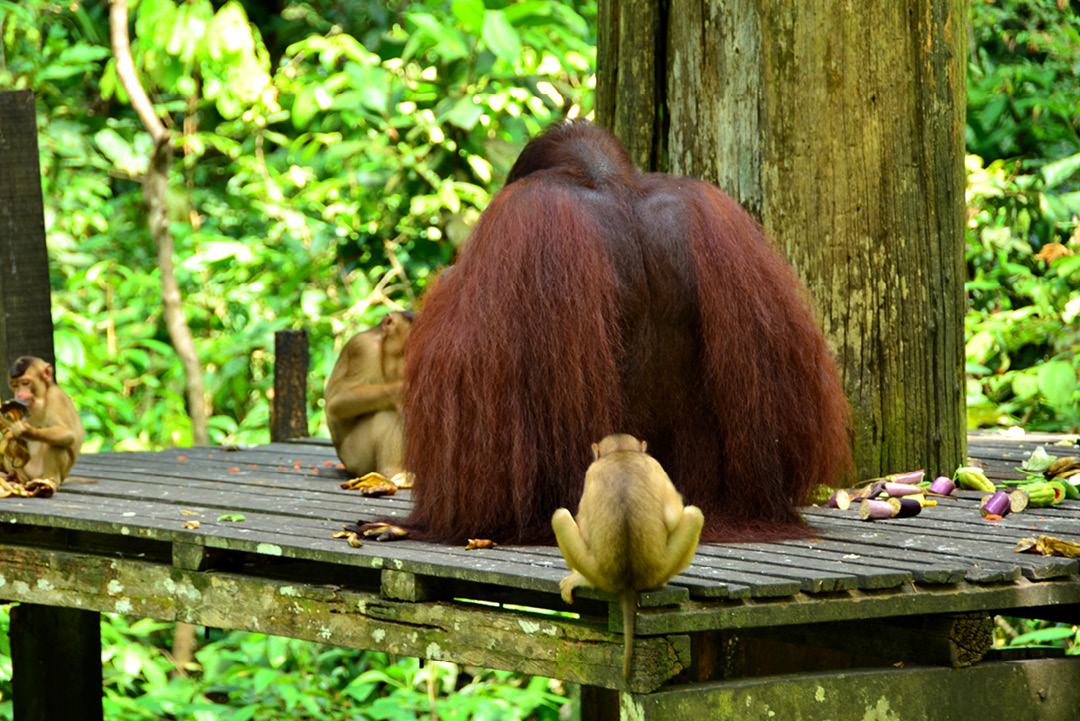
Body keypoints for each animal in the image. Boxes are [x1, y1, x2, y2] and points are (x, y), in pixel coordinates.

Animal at [0, 356, 85, 497]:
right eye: (15, 385)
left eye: (26, 383)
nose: (19, 394)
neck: (40, 399)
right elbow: (9, 432)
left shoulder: (56, 397)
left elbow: (67, 433)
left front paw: (27, 431)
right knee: (10, 441)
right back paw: (16, 477)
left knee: (58, 443)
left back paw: (49, 482)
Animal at [325, 311, 414, 479]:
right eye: (404, 352)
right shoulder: (363, 348)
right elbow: (337, 401)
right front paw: (399, 392)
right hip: (357, 458)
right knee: (389, 412)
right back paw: (392, 472)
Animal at [551, 434, 704, 678]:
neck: (621, 454)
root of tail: (628, 581)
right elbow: (674, 515)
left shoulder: (593, 472)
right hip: (657, 570)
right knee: (694, 514)